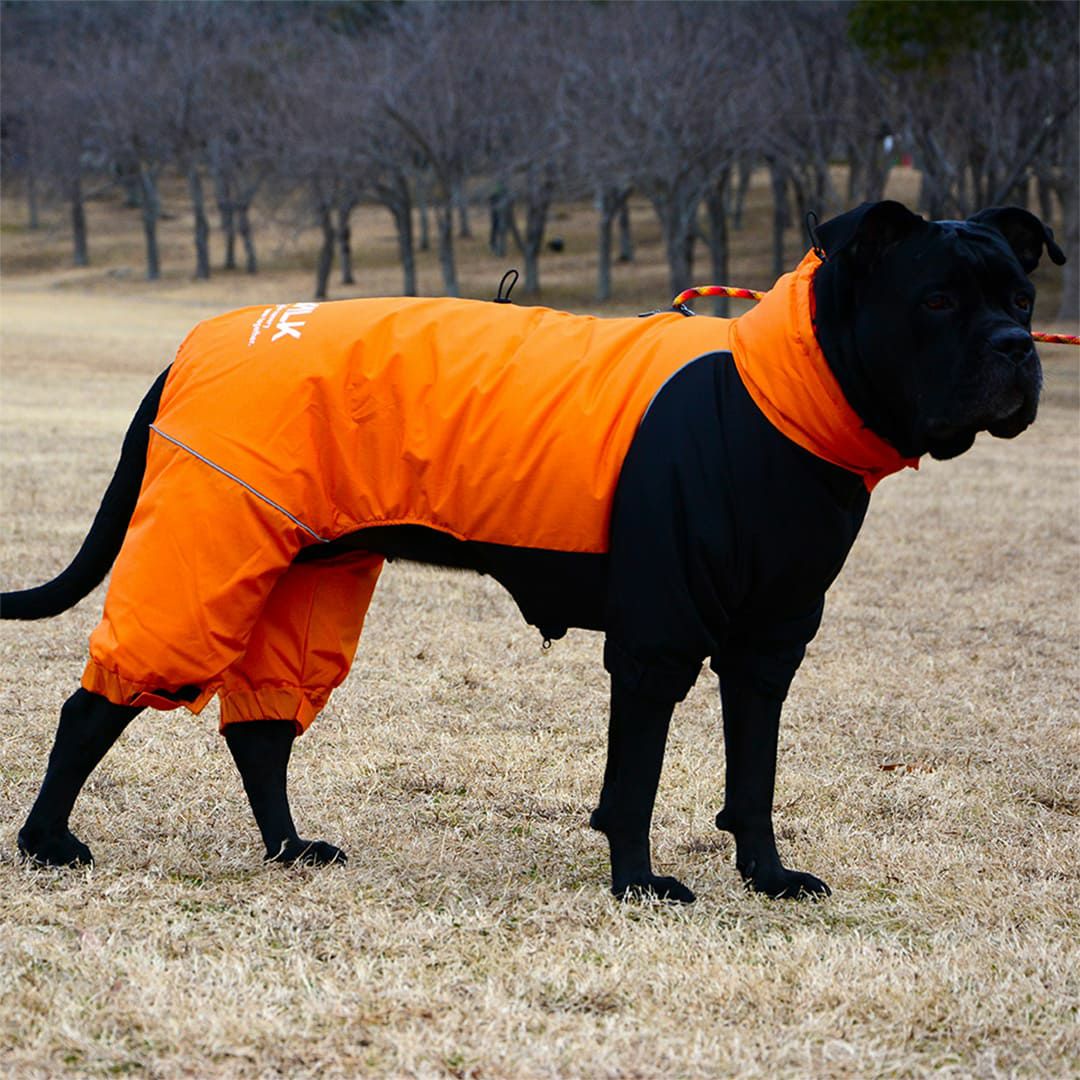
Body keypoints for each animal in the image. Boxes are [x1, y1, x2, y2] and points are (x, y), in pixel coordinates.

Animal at [2, 200, 1064, 903]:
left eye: (1020, 294)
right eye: (937, 300)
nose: (1020, 346)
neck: (780, 399)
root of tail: (194, 346)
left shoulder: (768, 649)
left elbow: (752, 780)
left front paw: (763, 877)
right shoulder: (657, 641)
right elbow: (634, 782)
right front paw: (638, 886)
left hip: (312, 580)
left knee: (259, 730)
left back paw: (290, 849)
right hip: (207, 560)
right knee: (97, 702)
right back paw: (48, 840)